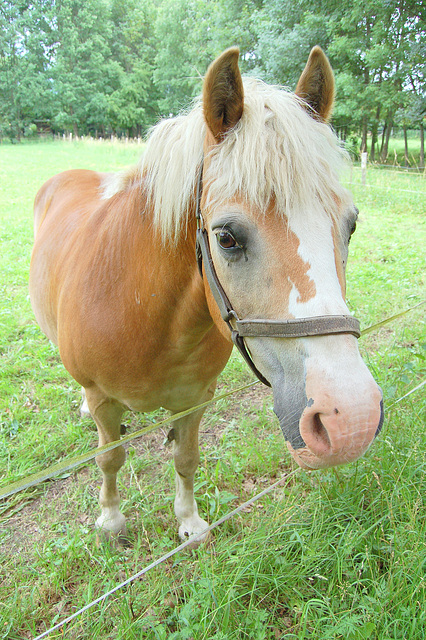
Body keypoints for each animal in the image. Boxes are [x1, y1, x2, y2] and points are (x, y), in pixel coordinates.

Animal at [29, 46, 382, 544]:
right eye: (226, 237)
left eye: (350, 224)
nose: (351, 418)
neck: (143, 310)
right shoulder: (103, 399)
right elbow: (109, 458)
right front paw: (112, 520)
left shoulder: (196, 399)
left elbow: (186, 458)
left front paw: (190, 522)